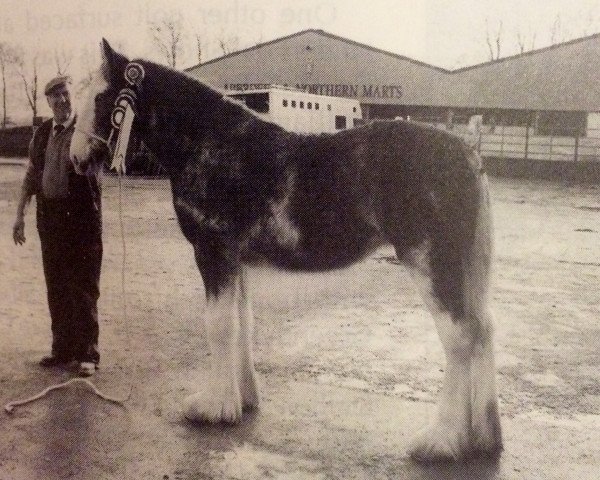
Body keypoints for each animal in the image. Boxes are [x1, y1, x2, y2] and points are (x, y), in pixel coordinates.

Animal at [69, 40, 502, 462]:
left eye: (99, 97)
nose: (76, 157)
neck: (209, 143)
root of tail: (468, 154)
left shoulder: (213, 253)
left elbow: (218, 326)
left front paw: (212, 407)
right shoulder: (236, 261)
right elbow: (242, 323)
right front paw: (242, 401)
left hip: (431, 264)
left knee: (460, 338)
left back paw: (441, 441)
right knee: (482, 331)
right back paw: (483, 438)